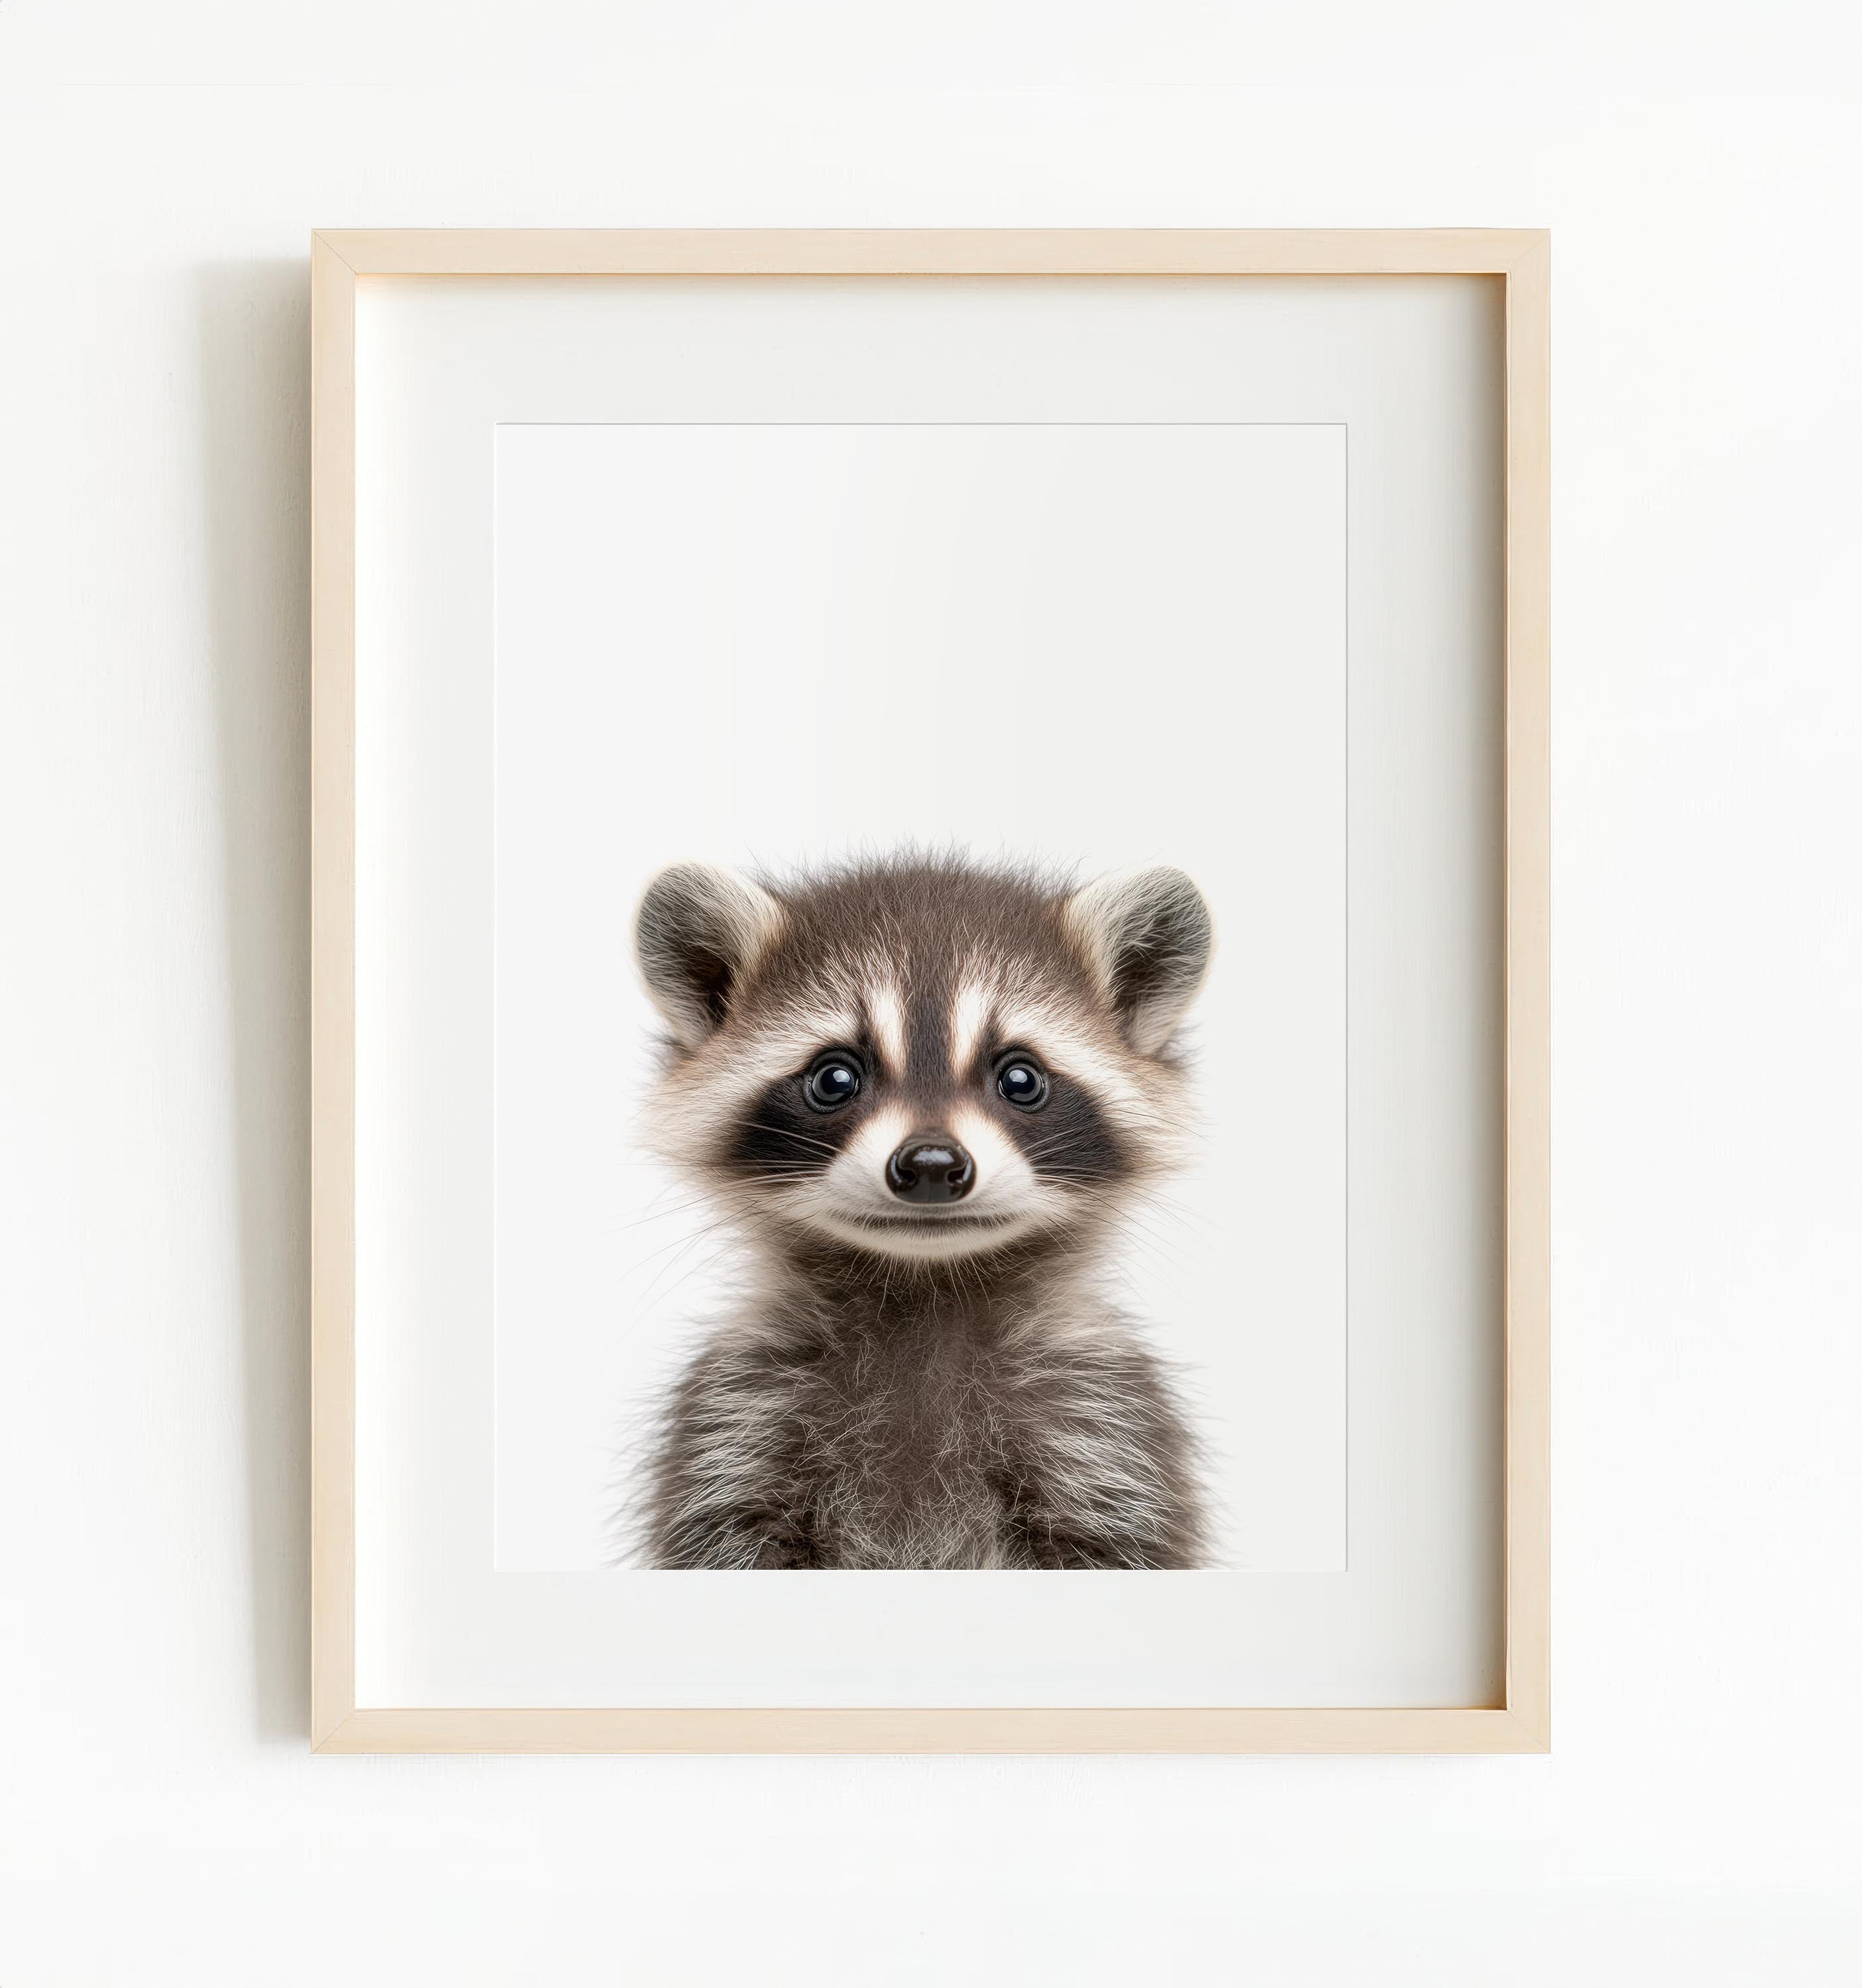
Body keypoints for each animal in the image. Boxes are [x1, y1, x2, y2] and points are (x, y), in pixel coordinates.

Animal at [629, 853, 1216, 1570]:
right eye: (834, 1078)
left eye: (1020, 1079)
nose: (932, 1164)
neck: (926, 1285)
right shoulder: (737, 1416)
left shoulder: (1104, 1424)